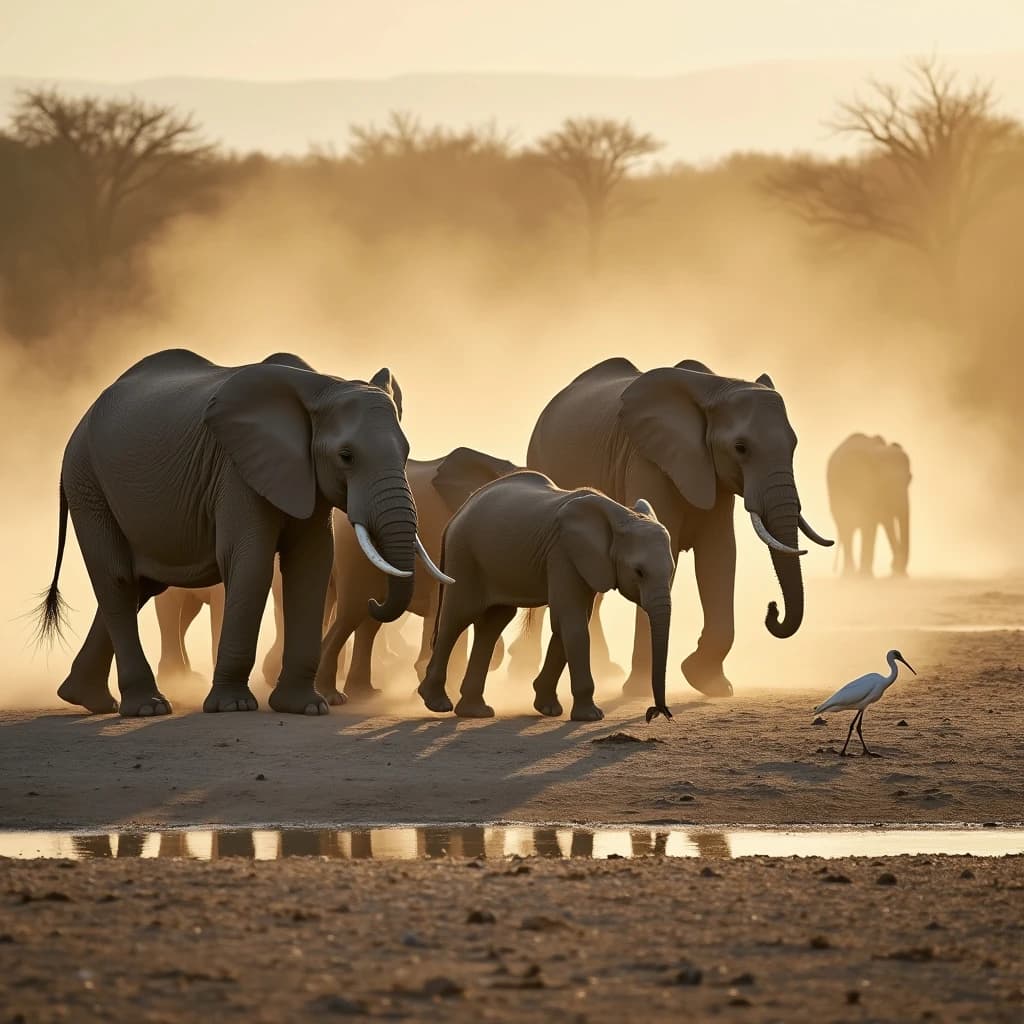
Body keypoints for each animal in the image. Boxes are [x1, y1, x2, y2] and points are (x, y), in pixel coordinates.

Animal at [37, 348, 448, 718]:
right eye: (346, 456)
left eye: (406, 452)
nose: (375, 602)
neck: (319, 387)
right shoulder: (237, 471)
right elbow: (251, 564)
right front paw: (233, 706)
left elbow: (312, 565)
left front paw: (305, 707)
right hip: (88, 483)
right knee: (118, 581)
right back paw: (147, 707)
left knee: (140, 586)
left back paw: (85, 698)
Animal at [418, 470, 676, 723]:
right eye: (639, 572)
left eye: (672, 570)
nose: (657, 712)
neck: (620, 515)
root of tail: (458, 512)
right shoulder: (563, 554)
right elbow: (572, 623)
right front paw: (590, 716)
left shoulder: (584, 562)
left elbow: (569, 622)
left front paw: (547, 708)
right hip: (464, 554)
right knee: (457, 618)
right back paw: (437, 703)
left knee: (493, 624)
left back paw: (475, 711)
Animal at [519, 358, 832, 699]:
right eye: (740, 447)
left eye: (794, 445)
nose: (771, 610)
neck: (716, 388)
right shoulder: (648, 463)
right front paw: (641, 690)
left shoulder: (713, 476)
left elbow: (719, 556)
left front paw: (710, 684)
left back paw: (606, 673)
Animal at [826, 433, 911, 577]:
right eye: (885, 483)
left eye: (910, 479)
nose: (898, 570)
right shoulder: (863, 485)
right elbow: (871, 522)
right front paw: (866, 576)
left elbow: (880, 520)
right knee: (846, 528)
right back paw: (849, 575)